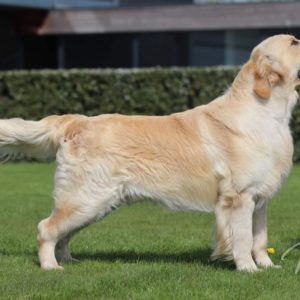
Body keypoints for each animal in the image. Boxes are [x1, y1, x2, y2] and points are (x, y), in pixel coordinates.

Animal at [0, 34, 298, 270]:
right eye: (294, 42)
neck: (267, 110)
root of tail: (75, 121)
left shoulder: (259, 199)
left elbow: (260, 239)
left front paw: (268, 267)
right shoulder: (239, 197)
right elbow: (244, 238)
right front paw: (248, 269)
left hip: (95, 203)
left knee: (63, 234)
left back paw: (68, 260)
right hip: (85, 199)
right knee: (46, 228)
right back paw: (50, 266)